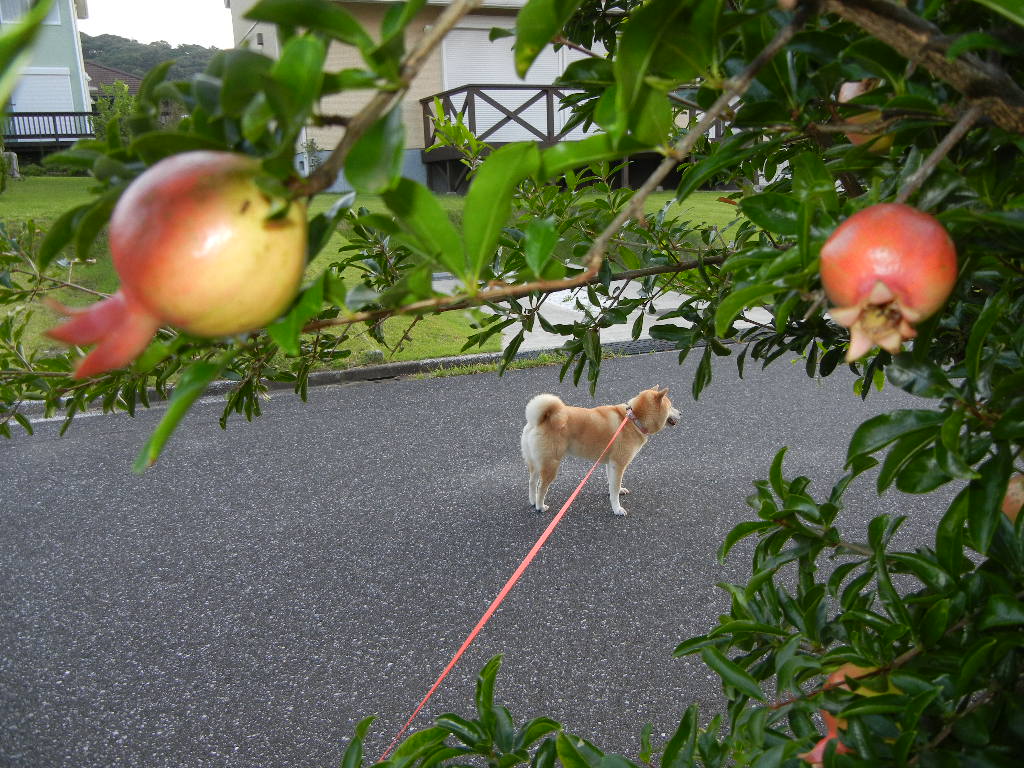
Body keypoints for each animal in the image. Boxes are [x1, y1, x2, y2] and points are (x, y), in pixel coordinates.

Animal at [520, 387, 679, 520]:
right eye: (671, 406)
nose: (681, 412)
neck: (633, 419)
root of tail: (538, 421)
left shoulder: (611, 463)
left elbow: (612, 484)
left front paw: (617, 492)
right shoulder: (618, 464)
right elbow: (615, 488)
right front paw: (617, 508)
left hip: (536, 463)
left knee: (532, 482)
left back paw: (532, 501)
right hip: (551, 465)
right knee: (541, 487)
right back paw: (540, 506)